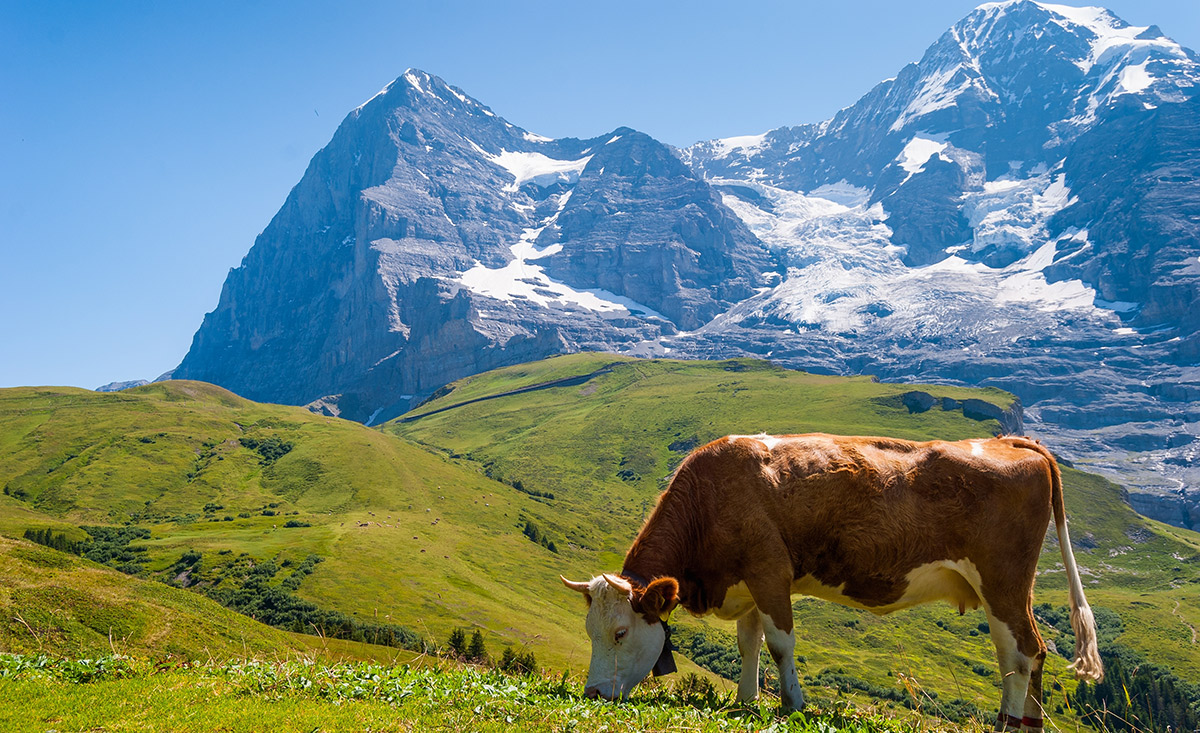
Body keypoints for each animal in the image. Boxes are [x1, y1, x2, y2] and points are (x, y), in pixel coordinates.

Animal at [561, 433, 1104, 732]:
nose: (593, 694)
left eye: (621, 633)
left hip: (1001, 581)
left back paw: (1007, 725)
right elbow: (748, 644)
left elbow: (779, 644)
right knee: (1035, 652)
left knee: (1021, 654)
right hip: (1014, 589)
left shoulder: (769, 571)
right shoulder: (749, 584)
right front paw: (746, 702)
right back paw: (1028, 724)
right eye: (589, 630)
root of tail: (1008, 441)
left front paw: (793, 705)